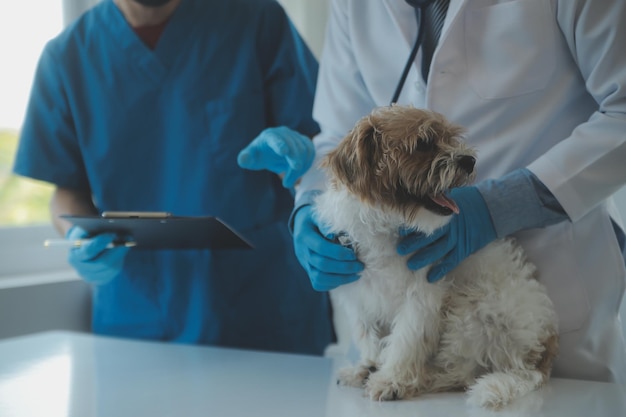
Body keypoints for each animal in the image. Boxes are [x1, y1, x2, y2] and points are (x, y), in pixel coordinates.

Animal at [314, 105, 560, 408]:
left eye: (450, 138)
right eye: (423, 143)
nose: (469, 160)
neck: (386, 224)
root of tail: (541, 355)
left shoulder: (422, 296)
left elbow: (405, 341)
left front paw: (391, 380)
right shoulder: (359, 294)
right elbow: (368, 336)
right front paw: (368, 365)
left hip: (471, 310)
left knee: (464, 372)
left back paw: (427, 378)